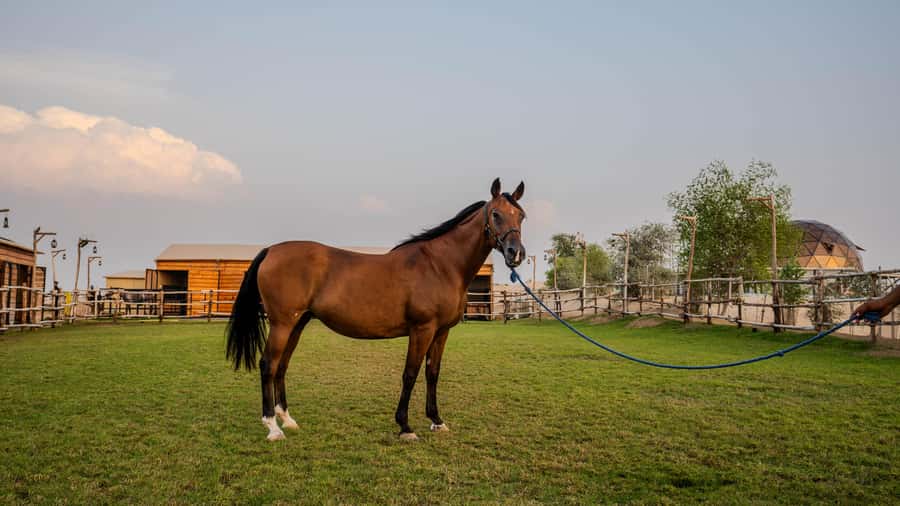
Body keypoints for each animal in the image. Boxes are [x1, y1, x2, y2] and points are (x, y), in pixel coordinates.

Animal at [226, 178, 527, 441]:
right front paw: (405, 427)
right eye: (496, 214)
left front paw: (436, 421)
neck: (441, 265)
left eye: (521, 216)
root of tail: (271, 250)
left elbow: (432, 374)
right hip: (282, 324)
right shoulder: (422, 330)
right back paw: (272, 427)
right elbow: (410, 374)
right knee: (268, 364)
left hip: (297, 324)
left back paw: (287, 420)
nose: (516, 253)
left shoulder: (441, 332)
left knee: (281, 365)